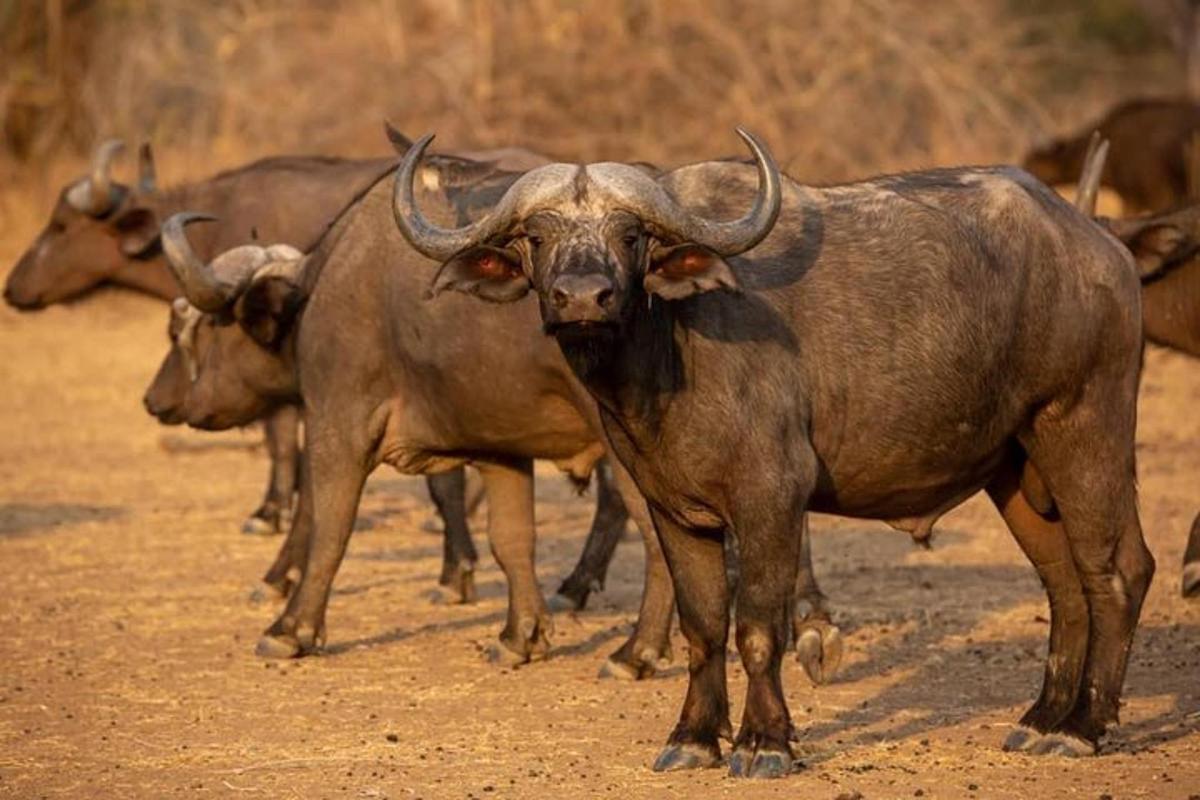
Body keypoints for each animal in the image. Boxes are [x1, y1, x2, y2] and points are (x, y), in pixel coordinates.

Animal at [393, 131, 1152, 777]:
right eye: (536, 235)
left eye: (630, 235)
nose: (583, 298)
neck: (673, 351)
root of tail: (1099, 245)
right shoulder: (674, 510)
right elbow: (703, 625)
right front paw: (693, 737)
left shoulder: (772, 501)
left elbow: (758, 625)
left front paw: (764, 742)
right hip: (1016, 469)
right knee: (1064, 584)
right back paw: (1041, 718)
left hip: (1085, 427)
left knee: (1116, 571)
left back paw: (1080, 728)